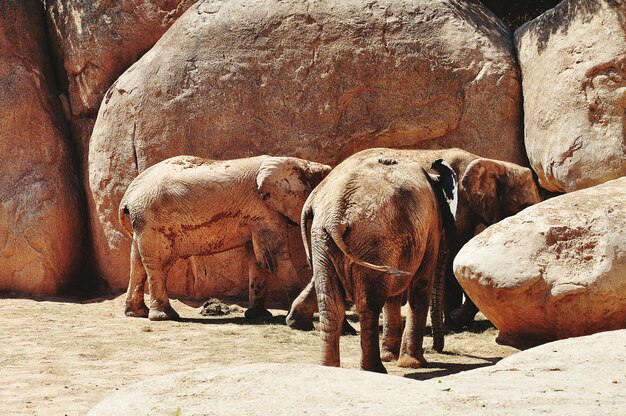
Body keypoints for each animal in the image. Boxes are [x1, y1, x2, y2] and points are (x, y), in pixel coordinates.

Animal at [118, 156, 332, 322]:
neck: (297, 162)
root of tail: (127, 197)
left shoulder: (255, 217)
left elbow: (257, 260)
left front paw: (259, 316)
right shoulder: (263, 211)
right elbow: (273, 259)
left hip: (143, 224)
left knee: (136, 263)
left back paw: (137, 313)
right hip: (153, 221)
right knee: (158, 264)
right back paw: (165, 316)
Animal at [286, 146, 540, 348]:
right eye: (524, 206)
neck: (489, 161)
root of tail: (315, 194)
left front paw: (454, 319)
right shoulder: (459, 208)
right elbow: (454, 256)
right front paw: (455, 321)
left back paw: (305, 323)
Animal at [292, 151, 458, 372]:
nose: (436, 349)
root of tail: (335, 215)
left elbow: (394, 295)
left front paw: (393, 357)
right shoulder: (430, 227)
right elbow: (420, 285)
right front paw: (414, 364)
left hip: (323, 240)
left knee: (330, 302)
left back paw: (330, 368)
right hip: (373, 240)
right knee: (368, 304)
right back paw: (375, 369)